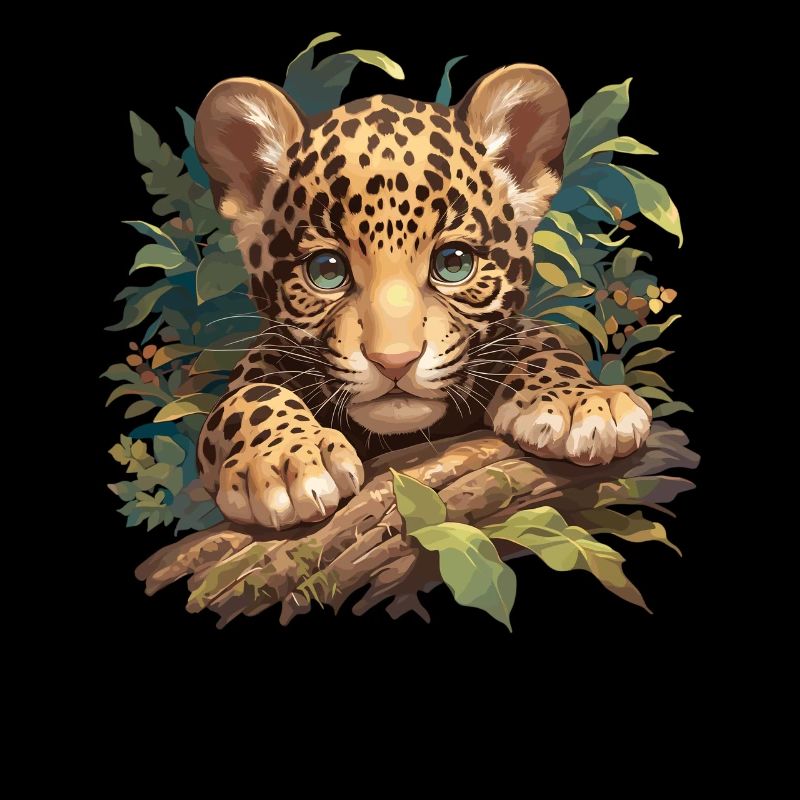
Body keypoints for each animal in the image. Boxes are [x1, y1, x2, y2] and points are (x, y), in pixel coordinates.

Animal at [193, 63, 652, 530]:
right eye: (326, 270)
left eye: (454, 263)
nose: (394, 362)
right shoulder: (262, 357)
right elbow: (251, 397)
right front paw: (285, 460)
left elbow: (541, 341)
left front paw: (581, 402)